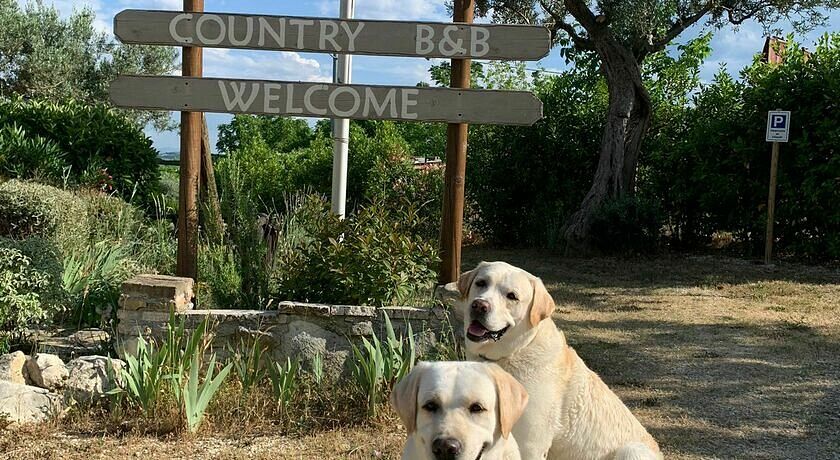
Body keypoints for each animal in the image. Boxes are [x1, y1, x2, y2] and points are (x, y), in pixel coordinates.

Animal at [452, 262, 664, 460]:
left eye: (512, 296)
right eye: (481, 283)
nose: (479, 305)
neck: (517, 351)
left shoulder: (530, 444)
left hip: (632, 449)